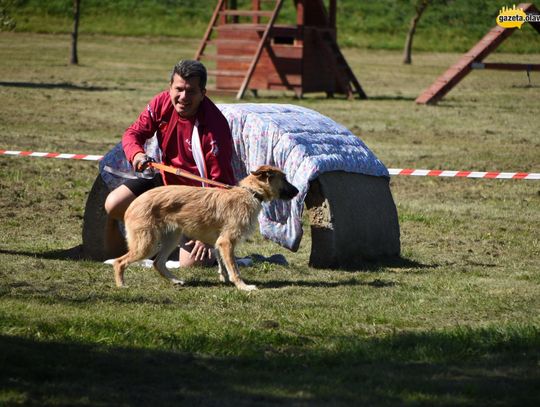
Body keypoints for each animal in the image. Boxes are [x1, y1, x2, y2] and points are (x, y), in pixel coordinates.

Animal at [112, 164, 298, 292]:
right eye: (284, 179)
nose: (297, 192)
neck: (250, 193)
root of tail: (134, 203)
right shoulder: (226, 242)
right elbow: (234, 269)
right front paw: (243, 286)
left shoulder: (219, 243)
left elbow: (223, 263)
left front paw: (224, 277)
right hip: (146, 245)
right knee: (119, 262)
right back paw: (121, 285)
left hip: (171, 239)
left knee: (158, 263)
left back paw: (175, 281)